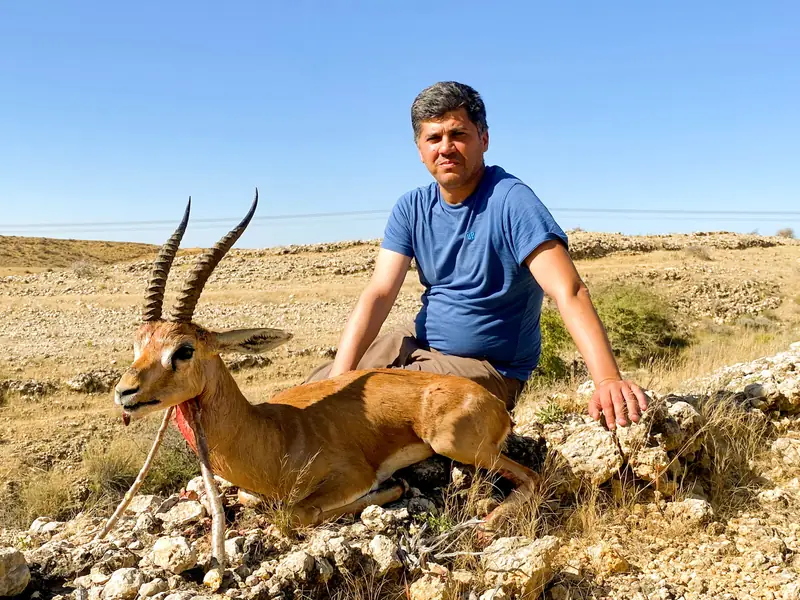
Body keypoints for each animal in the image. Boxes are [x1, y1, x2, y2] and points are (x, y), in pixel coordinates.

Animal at [100, 191, 540, 583]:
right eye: (138, 344)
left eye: (184, 350)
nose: (125, 392)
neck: (273, 436)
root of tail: (494, 402)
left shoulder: (351, 477)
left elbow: (298, 514)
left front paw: (393, 487)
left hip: (454, 444)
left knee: (534, 477)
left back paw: (486, 524)